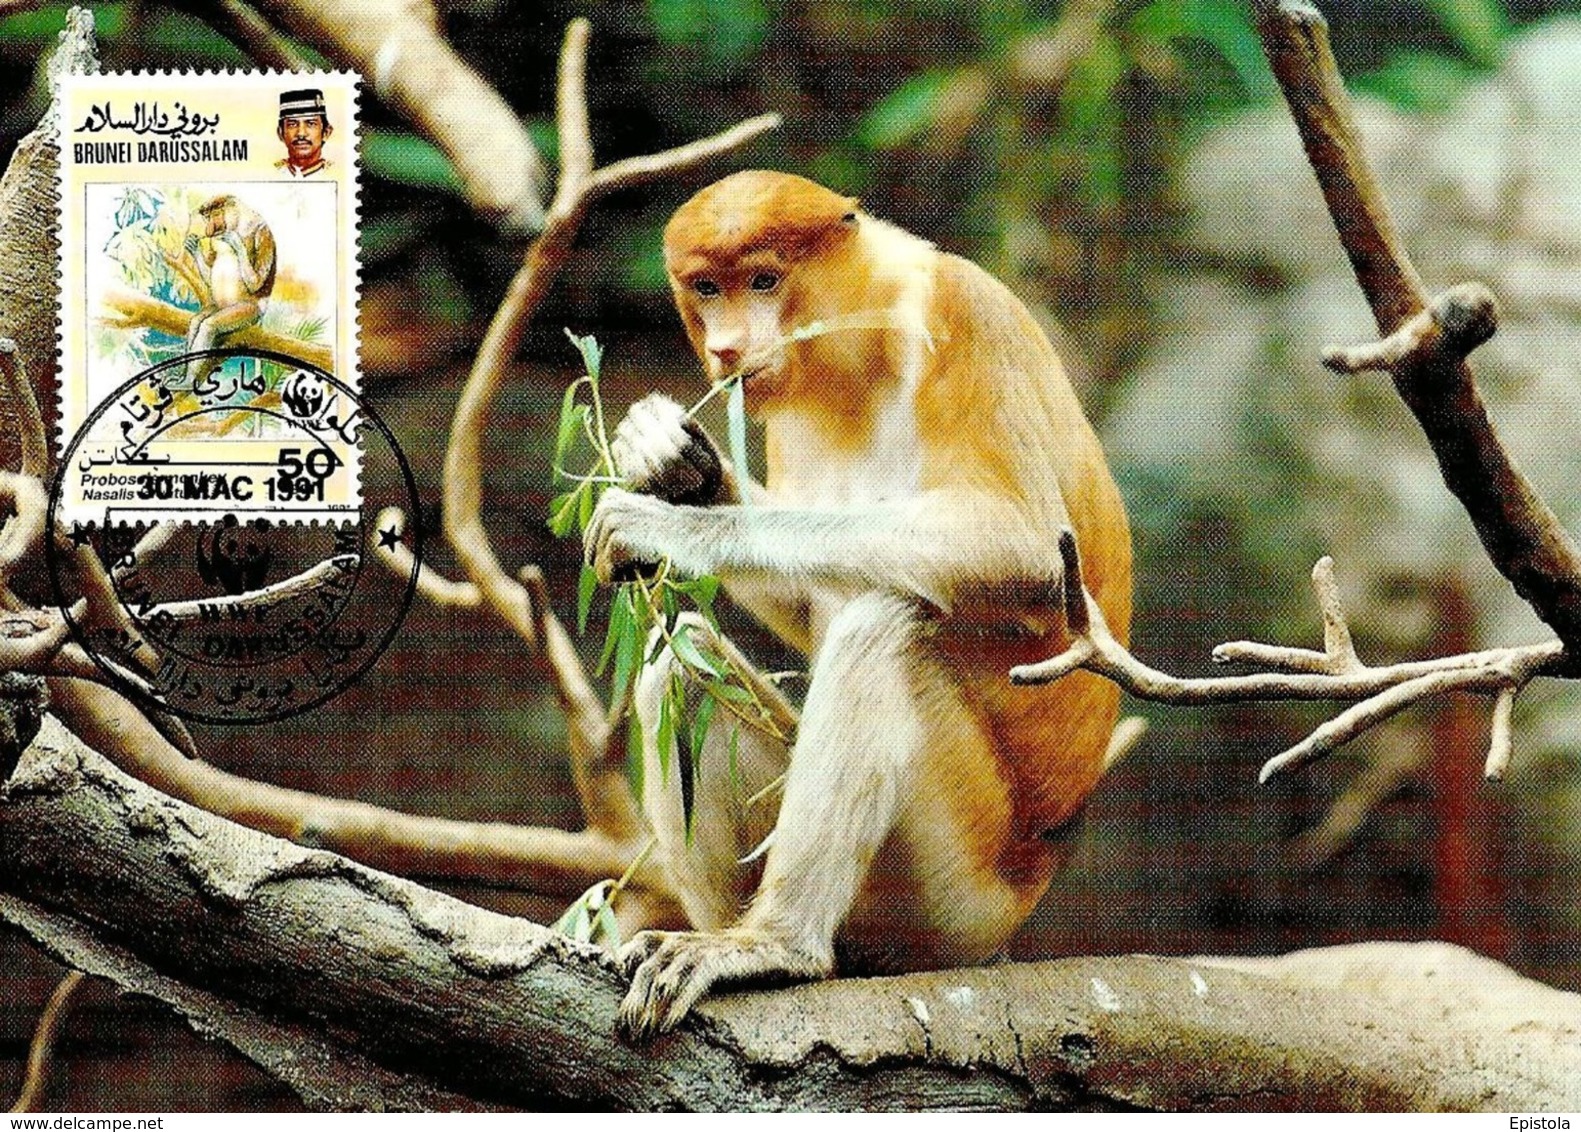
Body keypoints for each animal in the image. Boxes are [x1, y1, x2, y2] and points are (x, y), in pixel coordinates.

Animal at [182, 194, 276, 386]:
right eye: (207, 217)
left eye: (215, 214)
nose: (209, 229)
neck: (239, 224)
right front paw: (195, 248)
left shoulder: (263, 232)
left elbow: (257, 282)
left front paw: (235, 241)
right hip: (219, 306)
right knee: (197, 322)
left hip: (248, 312)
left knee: (209, 325)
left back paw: (188, 382)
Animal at [585, 170, 1132, 1039]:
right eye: (706, 288)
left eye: (763, 281)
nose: (727, 350)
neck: (865, 346)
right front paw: (674, 460)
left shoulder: (964, 317)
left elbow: (1022, 547)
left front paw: (669, 524)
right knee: (683, 668)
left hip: (955, 891)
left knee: (888, 624)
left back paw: (770, 945)